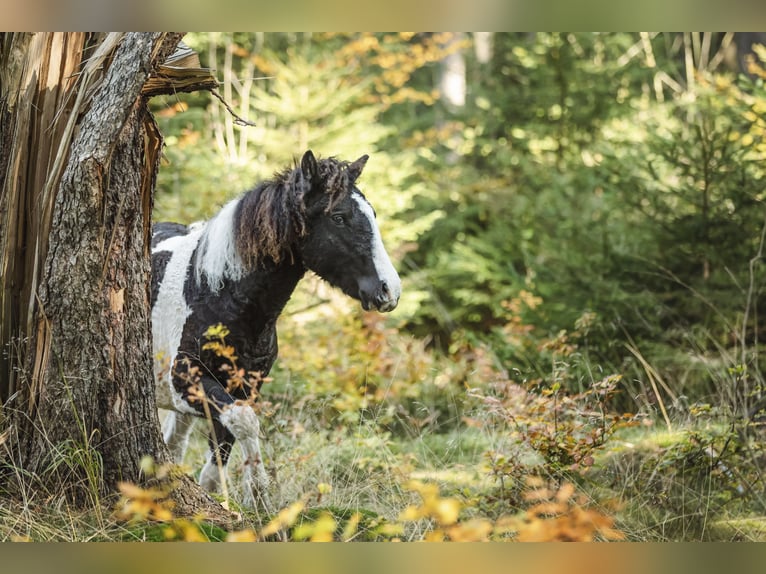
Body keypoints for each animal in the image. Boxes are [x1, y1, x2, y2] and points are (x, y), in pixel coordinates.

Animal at [150, 152, 402, 508]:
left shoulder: (244, 386)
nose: (389, 290)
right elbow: (244, 422)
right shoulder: (184, 380)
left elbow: (224, 445)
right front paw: (258, 493)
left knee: (175, 443)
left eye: (373, 215)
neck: (213, 291)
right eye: (338, 217)